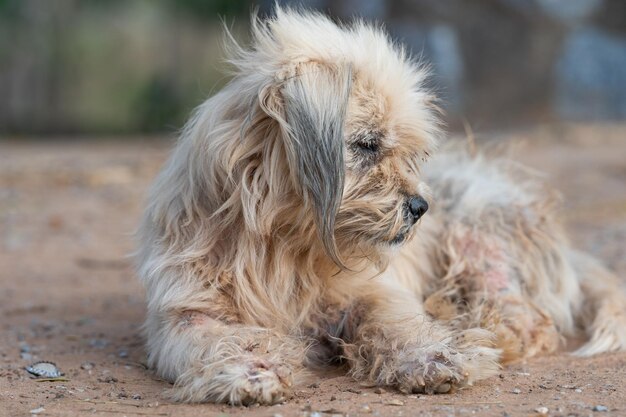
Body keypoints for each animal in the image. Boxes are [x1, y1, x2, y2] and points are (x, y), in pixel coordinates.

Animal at [136, 6, 624, 404]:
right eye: (368, 144)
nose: (421, 206)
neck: (285, 246)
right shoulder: (186, 313)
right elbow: (216, 340)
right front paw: (250, 370)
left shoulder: (370, 291)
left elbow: (394, 321)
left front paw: (433, 357)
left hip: (476, 238)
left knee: (526, 320)